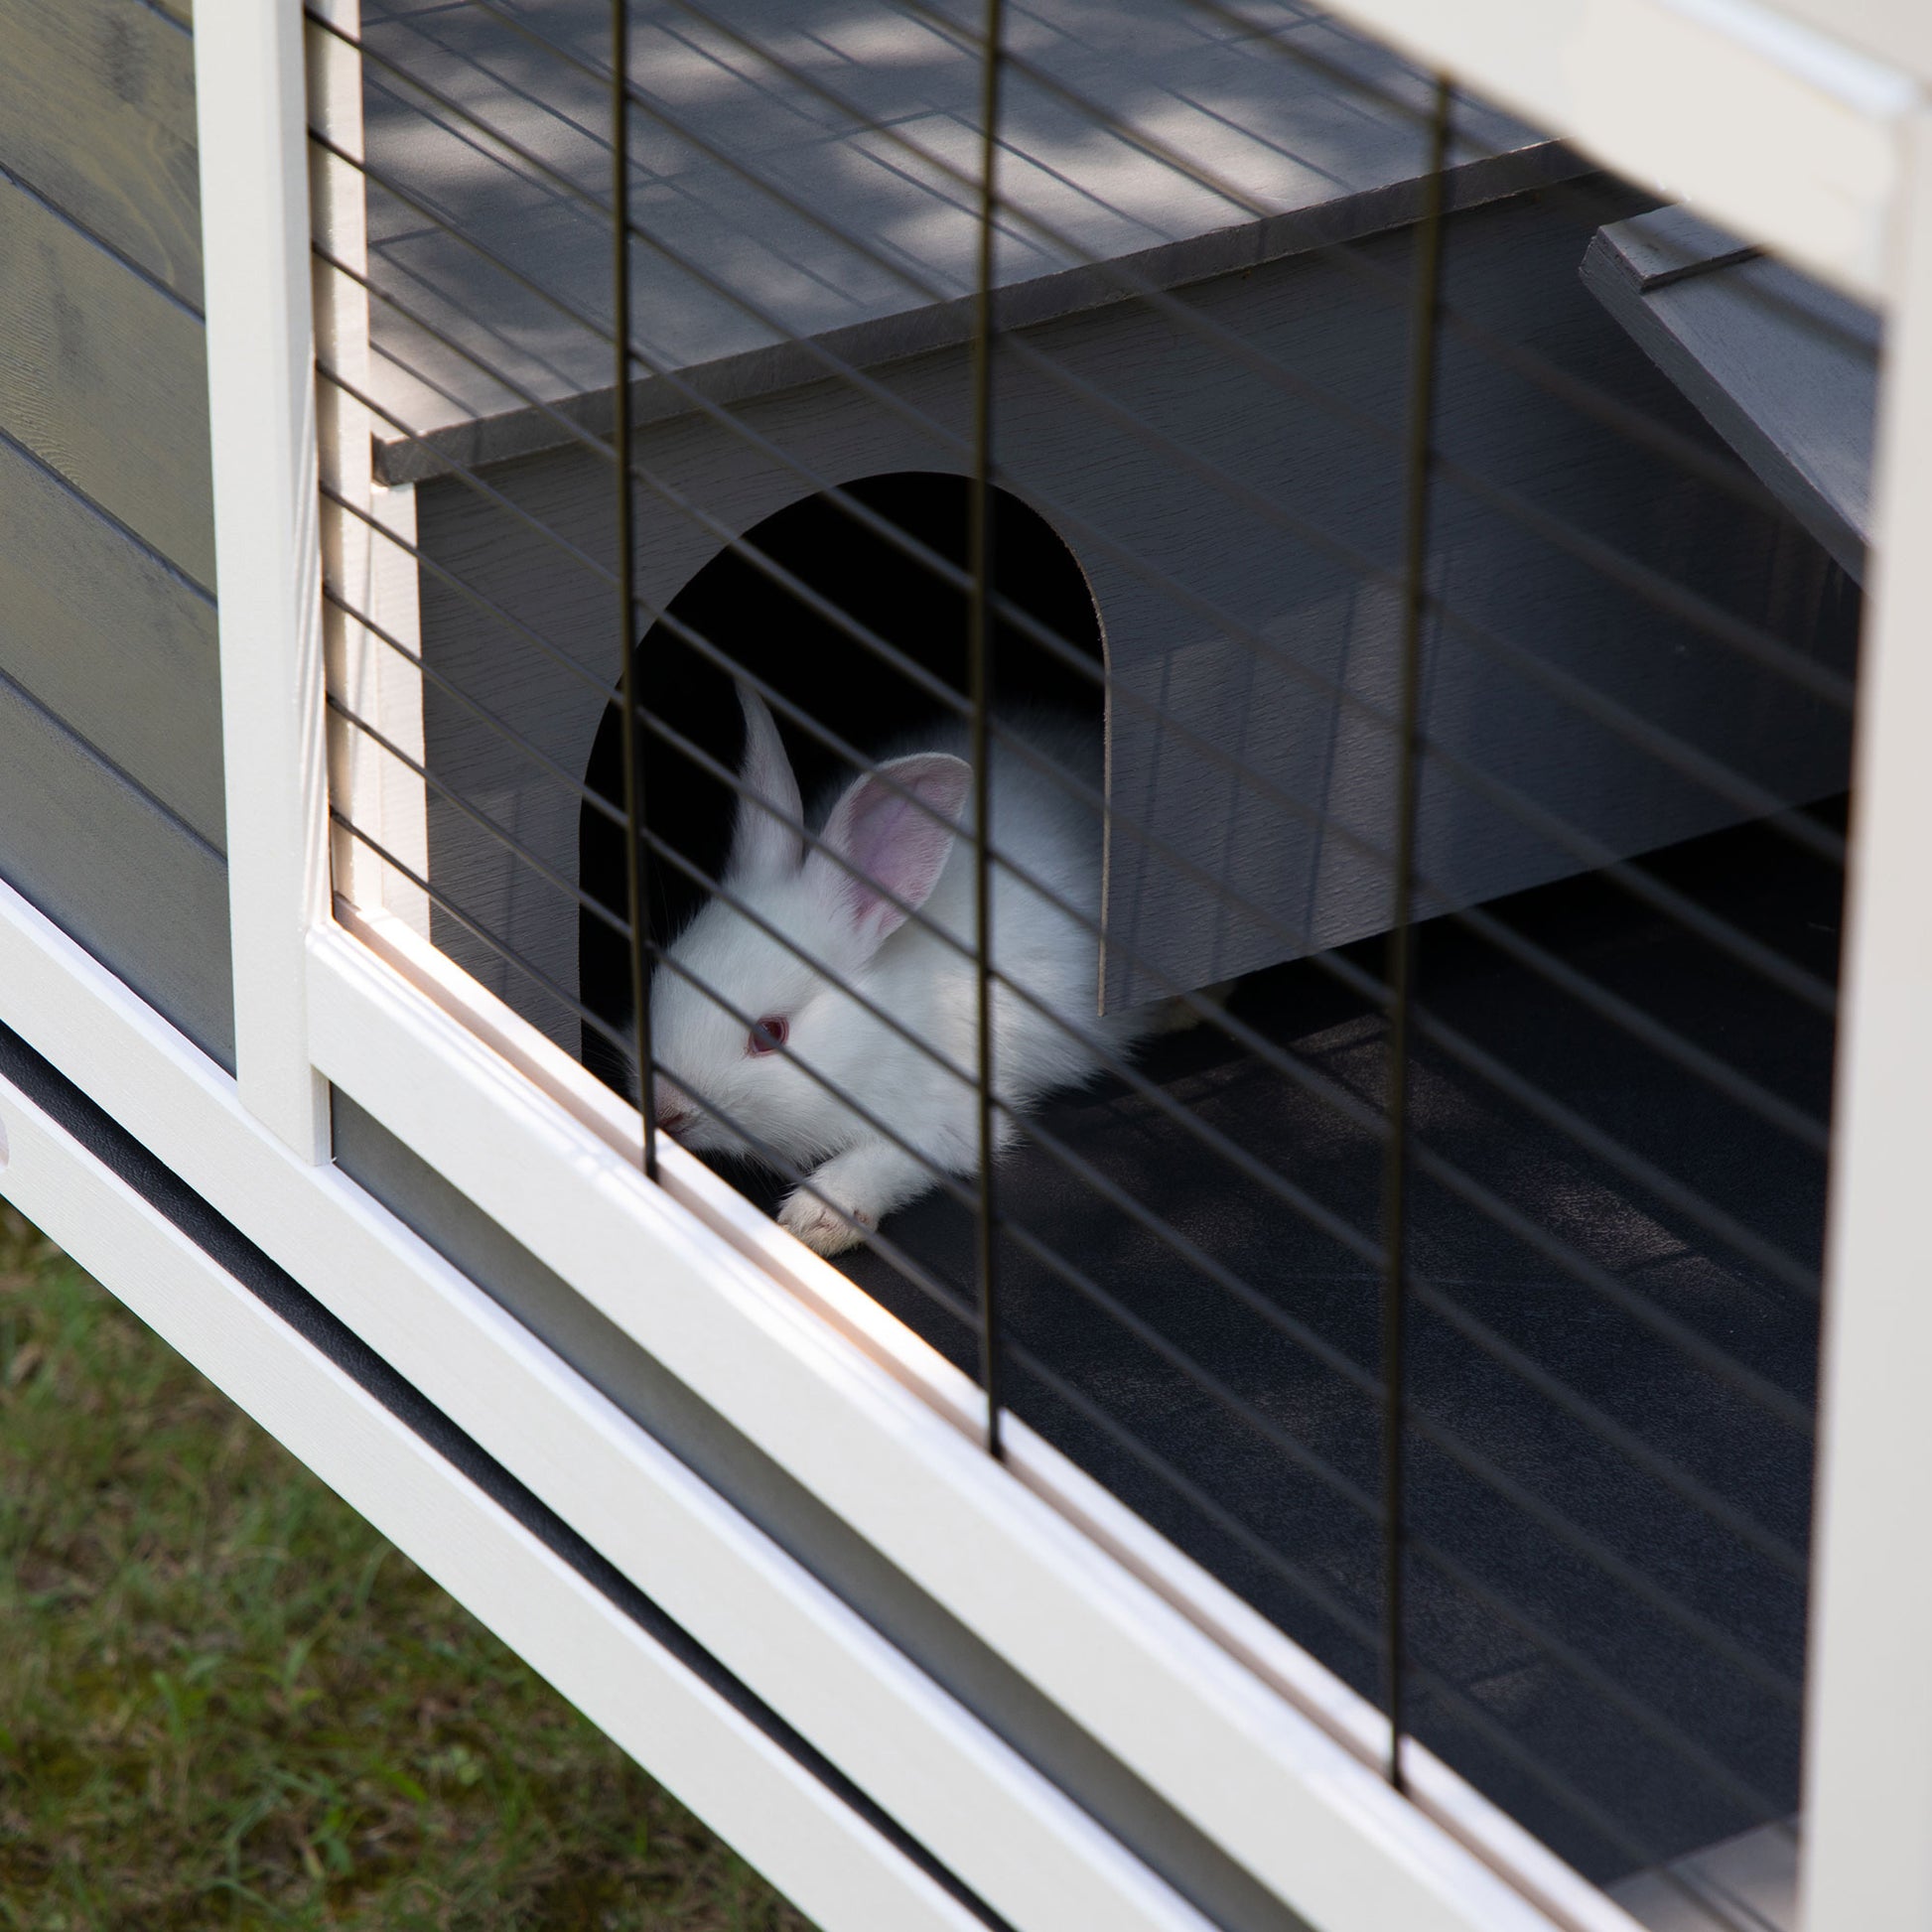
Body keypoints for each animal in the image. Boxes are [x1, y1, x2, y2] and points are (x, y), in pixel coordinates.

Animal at [648, 687, 1159, 1259]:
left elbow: (897, 1156)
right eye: (668, 966)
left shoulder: (945, 1115)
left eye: (770, 1034)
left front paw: (815, 1220)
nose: (667, 1110)